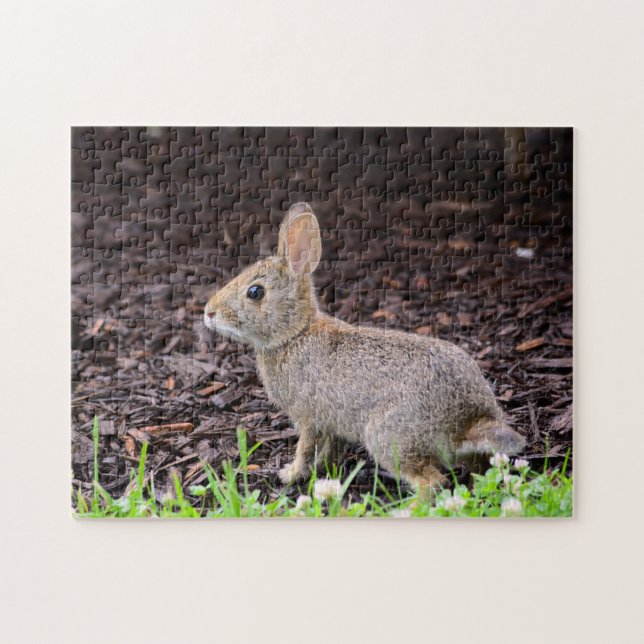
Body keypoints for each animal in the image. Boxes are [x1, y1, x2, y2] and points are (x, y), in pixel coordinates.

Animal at [204, 203, 525, 491]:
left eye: (254, 292)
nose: (208, 312)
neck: (294, 334)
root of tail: (468, 419)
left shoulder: (308, 418)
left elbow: (305, 449)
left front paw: (289, 474)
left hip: (388, 437)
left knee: (431, 483)